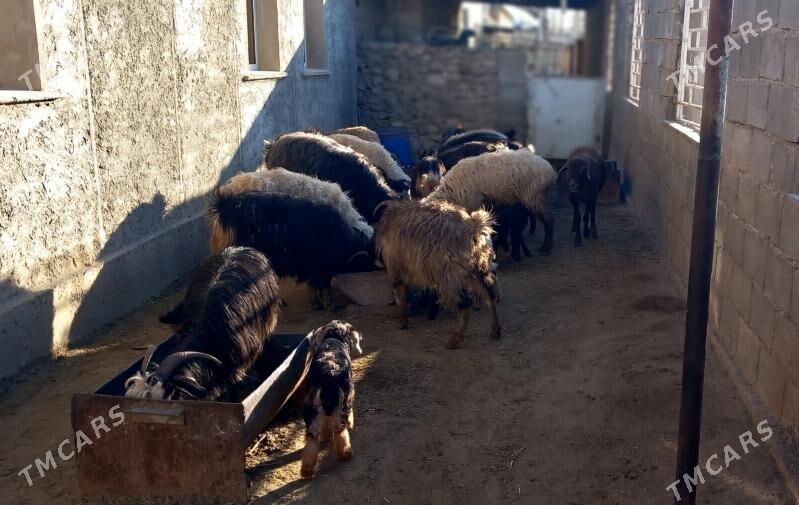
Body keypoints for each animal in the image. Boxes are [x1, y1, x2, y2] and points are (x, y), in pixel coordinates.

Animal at [208, 190, 374, 309]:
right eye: (365, 261)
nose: (375, 267)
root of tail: (224, 208)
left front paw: (315, 303)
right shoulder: (321, 269)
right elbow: (323, 286)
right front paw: (330, 305)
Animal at [300, 320, 363, 479]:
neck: (334, 337)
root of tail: (329, 371)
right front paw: (351, 423)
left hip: (311, 405)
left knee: (312, 434)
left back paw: (306, 469)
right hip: (343, 401)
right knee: (339, 429)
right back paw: (346, 453)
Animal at [375, 199, 500, 349]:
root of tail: (473, 228)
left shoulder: (395, 267)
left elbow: (399, 293)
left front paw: (403, 321)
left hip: (450, 274)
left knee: (464, 304)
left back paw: (455, 340)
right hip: (476, 268)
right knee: (489, 295)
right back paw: (495, 331)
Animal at [424, 146, 557, 254]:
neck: (451, 192)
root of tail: (550, 170)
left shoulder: (474, 203)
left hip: (535, 196)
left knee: (549, 220)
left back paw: (546, 248)